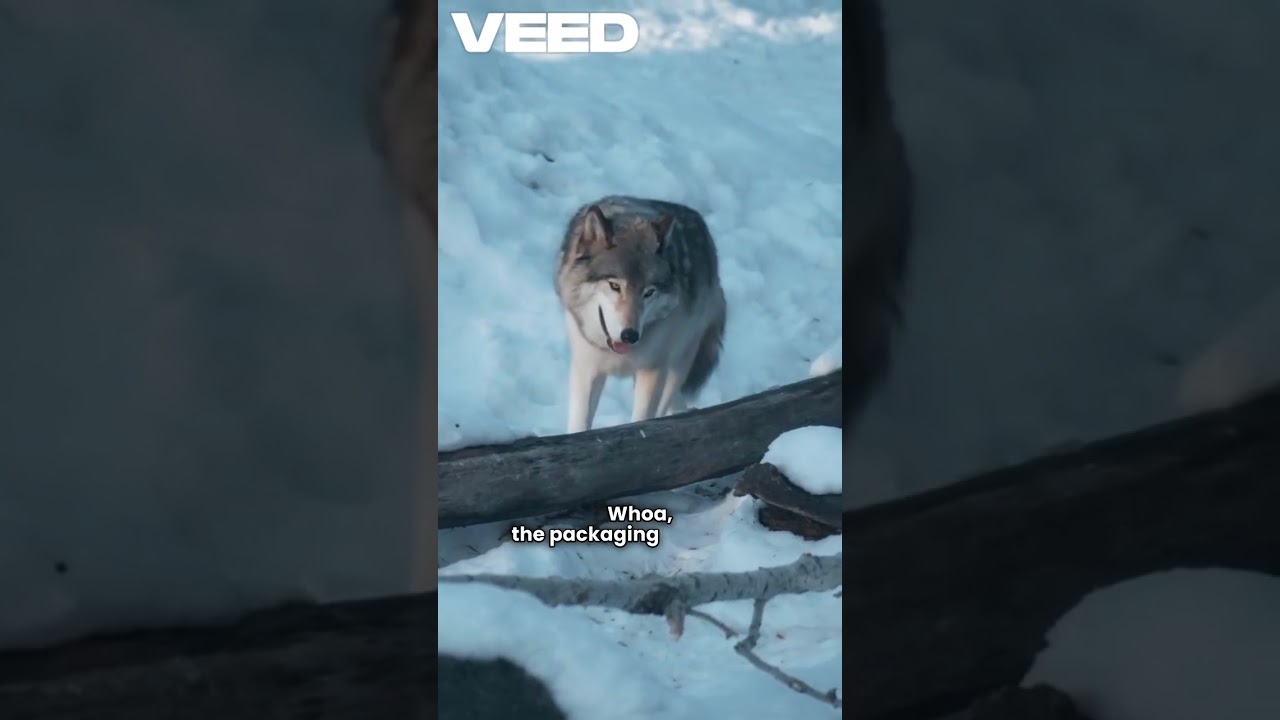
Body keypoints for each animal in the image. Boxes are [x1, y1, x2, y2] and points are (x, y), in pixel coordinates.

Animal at [554, 197, 727, 434]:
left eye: (649, 292)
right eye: (615, 286)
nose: (630, 335)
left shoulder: (652, 371)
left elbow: (642, 420)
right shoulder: (587, 369)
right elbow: (579, 426)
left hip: (677, 363)